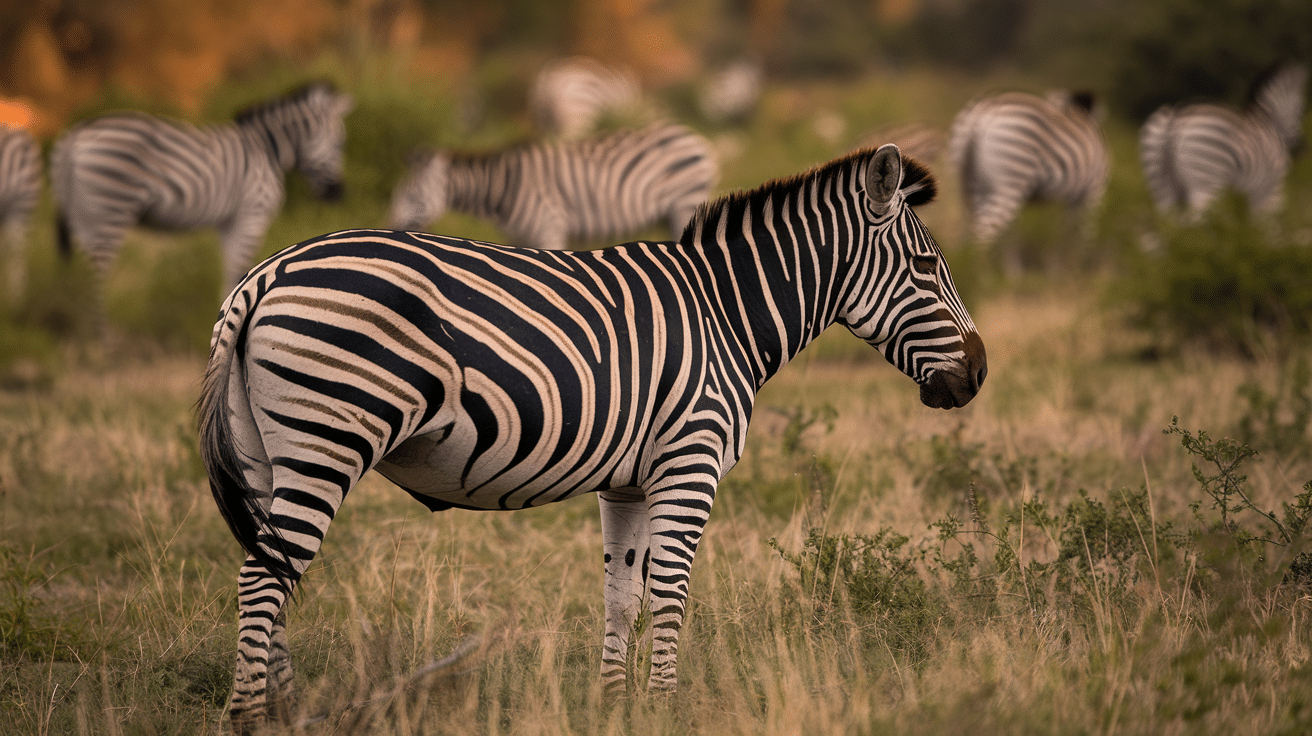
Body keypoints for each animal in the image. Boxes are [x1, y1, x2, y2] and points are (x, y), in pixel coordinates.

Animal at [51, 81, 354, 294]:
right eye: (340, 143)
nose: (338, 195)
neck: (266, 150)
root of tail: (74, 136)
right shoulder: (251, 214)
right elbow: (238, 271)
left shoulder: (230, 222)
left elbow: (231, 274)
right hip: (108, 210)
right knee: (96, 281)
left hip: (81, 217)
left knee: (76, 277)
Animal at [198, 143, 987, 730]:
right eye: (927, 267)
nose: (978, 374)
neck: (725, 312)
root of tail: (264, 275)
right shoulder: (690, 462)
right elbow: (669, 590)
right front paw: (666, 706)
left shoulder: (629, 481)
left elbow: (621, 593)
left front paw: (615, 705)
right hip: (327, 437)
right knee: (264, 574)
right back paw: (251, 716)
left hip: (268, 452)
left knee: (270, 565)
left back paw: (288, 709)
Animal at [387, 122, 719, 250]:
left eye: (413, 195)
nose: (390, 228)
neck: (504, 187)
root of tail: (692, 135)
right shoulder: (520, 236)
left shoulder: (549, 228)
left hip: (684, 204)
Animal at [948, 90, 1110, 244]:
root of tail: (981, 113)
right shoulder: (1093, 191)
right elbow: (1081, 233)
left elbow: (1068, 233)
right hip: (1010, 184)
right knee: (983, 234)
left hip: (973, 186)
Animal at [1140, 63, 1308, 220]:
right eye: (1300, 108)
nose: (1301, 149)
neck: (1268, 120)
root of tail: (1175, 118)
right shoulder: (1270, 192)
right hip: (1206, 184)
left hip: (1161, 187)